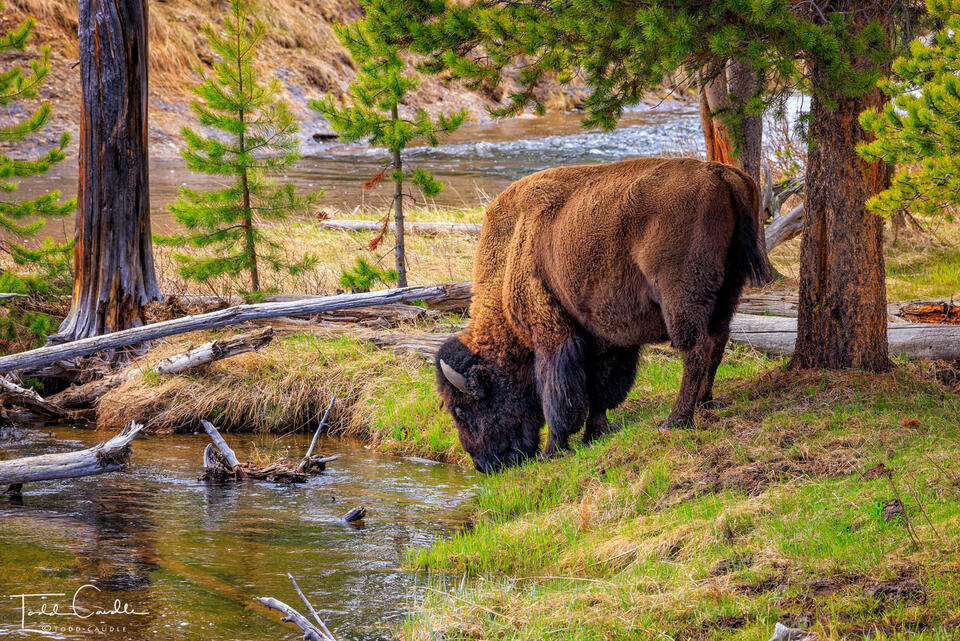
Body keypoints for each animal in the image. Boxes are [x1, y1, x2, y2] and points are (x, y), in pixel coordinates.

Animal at [435, 158, 770, 473]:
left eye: (462, 410)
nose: (484, 465)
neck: (512, 248)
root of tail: (721, 174)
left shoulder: (552, 335)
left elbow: (557, 395)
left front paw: (552, 450)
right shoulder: (603, 336)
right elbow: (600, 386)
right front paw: (593, 433)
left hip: (681, 299)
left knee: (696, 350)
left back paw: (675, 419)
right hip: (727, 293)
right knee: (717, 343)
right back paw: (705, 404)